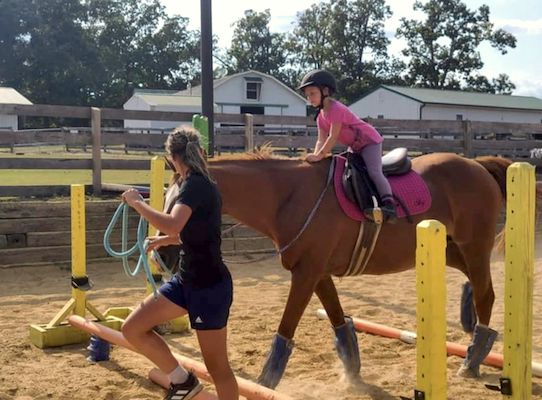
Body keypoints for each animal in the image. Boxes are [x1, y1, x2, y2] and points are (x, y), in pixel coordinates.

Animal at [208, 152, 532, 388]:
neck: (289, 196)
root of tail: (476, 165)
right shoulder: (318, 273)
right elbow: (339, 321)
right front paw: (352, 372)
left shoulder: (306, 274)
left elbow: (286, 328)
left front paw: (265, 383)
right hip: (451, 248)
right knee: (476, 285)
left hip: (473, 245)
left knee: (485, 293)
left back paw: (472, 361)